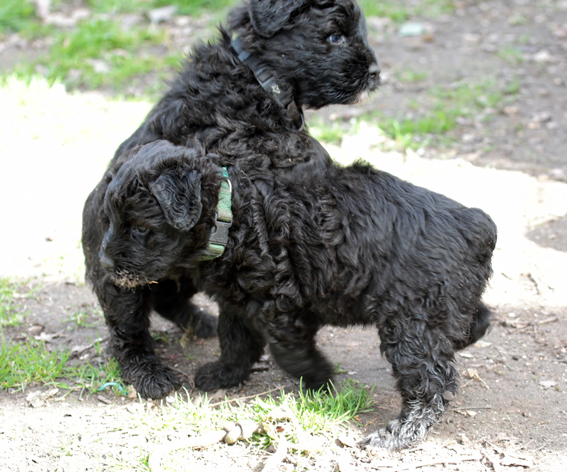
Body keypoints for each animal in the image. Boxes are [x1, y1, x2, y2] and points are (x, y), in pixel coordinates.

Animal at [82, 0, 380, 398]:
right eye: (334, 36)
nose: (376, 74)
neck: (256, 74)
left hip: (180, 264)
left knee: (168, 297)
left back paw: (201, 322)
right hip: (123, 281)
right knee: (126, 333)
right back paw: (150, 372)